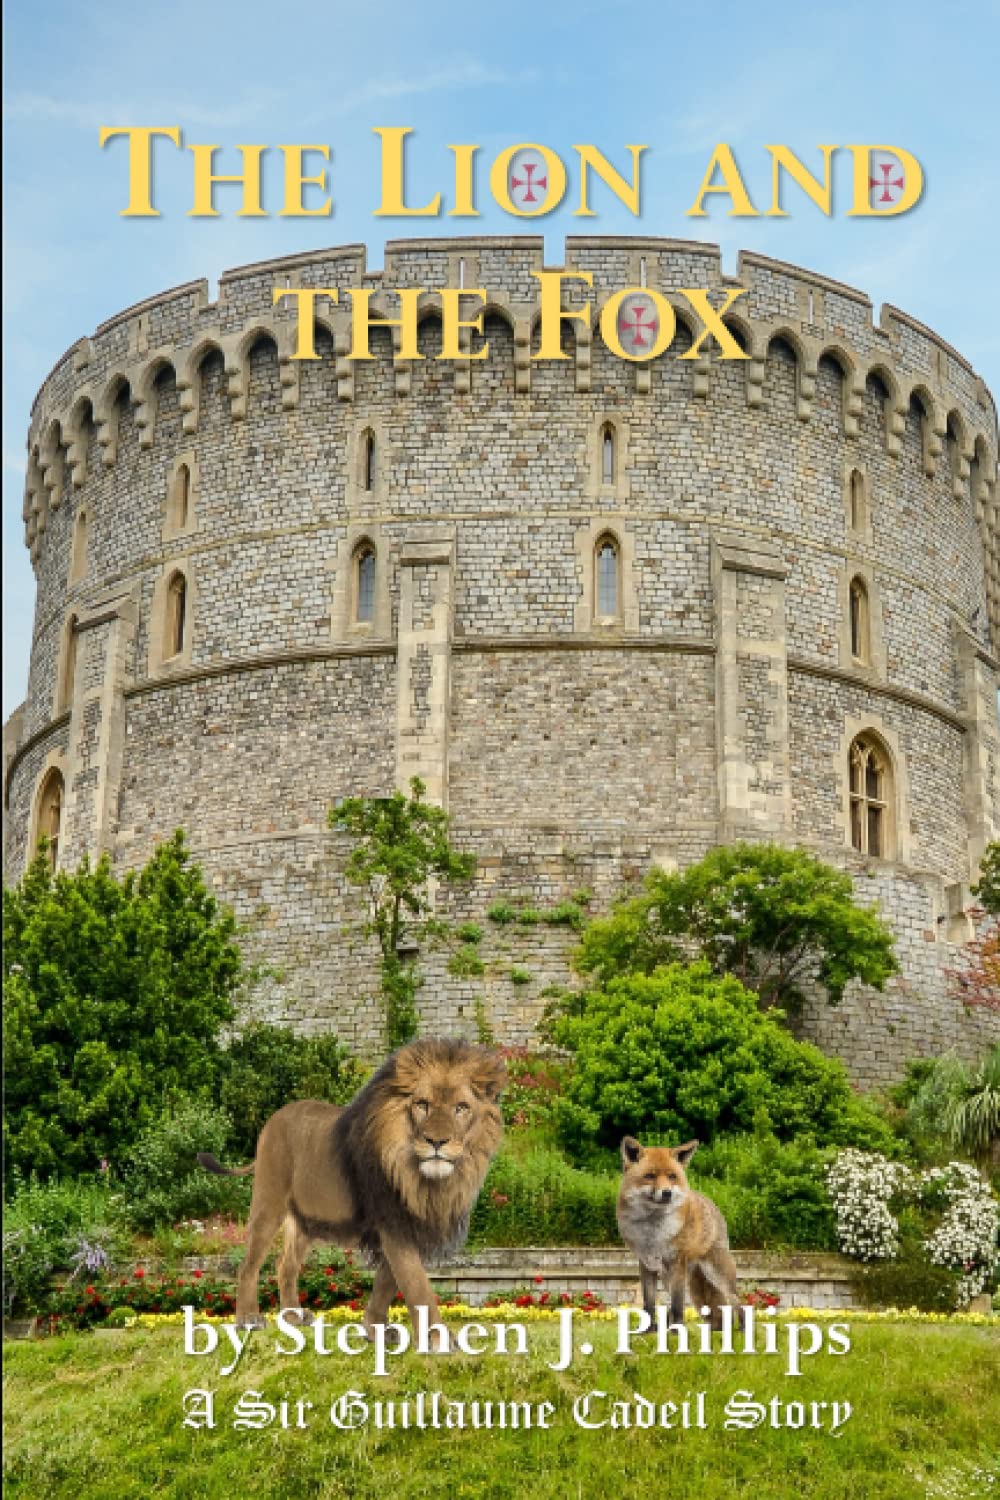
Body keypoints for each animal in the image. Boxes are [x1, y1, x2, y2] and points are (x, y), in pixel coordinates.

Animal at [197, 1037, 506, 1333]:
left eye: (461, 1108)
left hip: (304, 1220)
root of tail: (273, 1119)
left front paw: (375, 1330)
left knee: (285, 1265)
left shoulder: (407, 1224)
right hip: (269, 1202)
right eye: (422, 1104)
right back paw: (248, 1318)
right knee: (249, 1264)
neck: (427, 1181)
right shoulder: (393, 1221)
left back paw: (294, 1318)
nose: (436, 1142)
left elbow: (387, 1281)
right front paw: (440, 1342)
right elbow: (417, 1285)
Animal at [616, 1135, 745, 1332]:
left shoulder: (677, 1262)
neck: (653, 1235)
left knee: (737, 1302)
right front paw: (648, 1331)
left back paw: (742, 1330)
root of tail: (711, 1202)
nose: (667, 1193)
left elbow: (677, 1305)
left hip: (716, 1274)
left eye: (672, 1176)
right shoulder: (646, 1265)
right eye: (650, 1176)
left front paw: (677, 1331)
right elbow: (649, 1304)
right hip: (672, 1277)